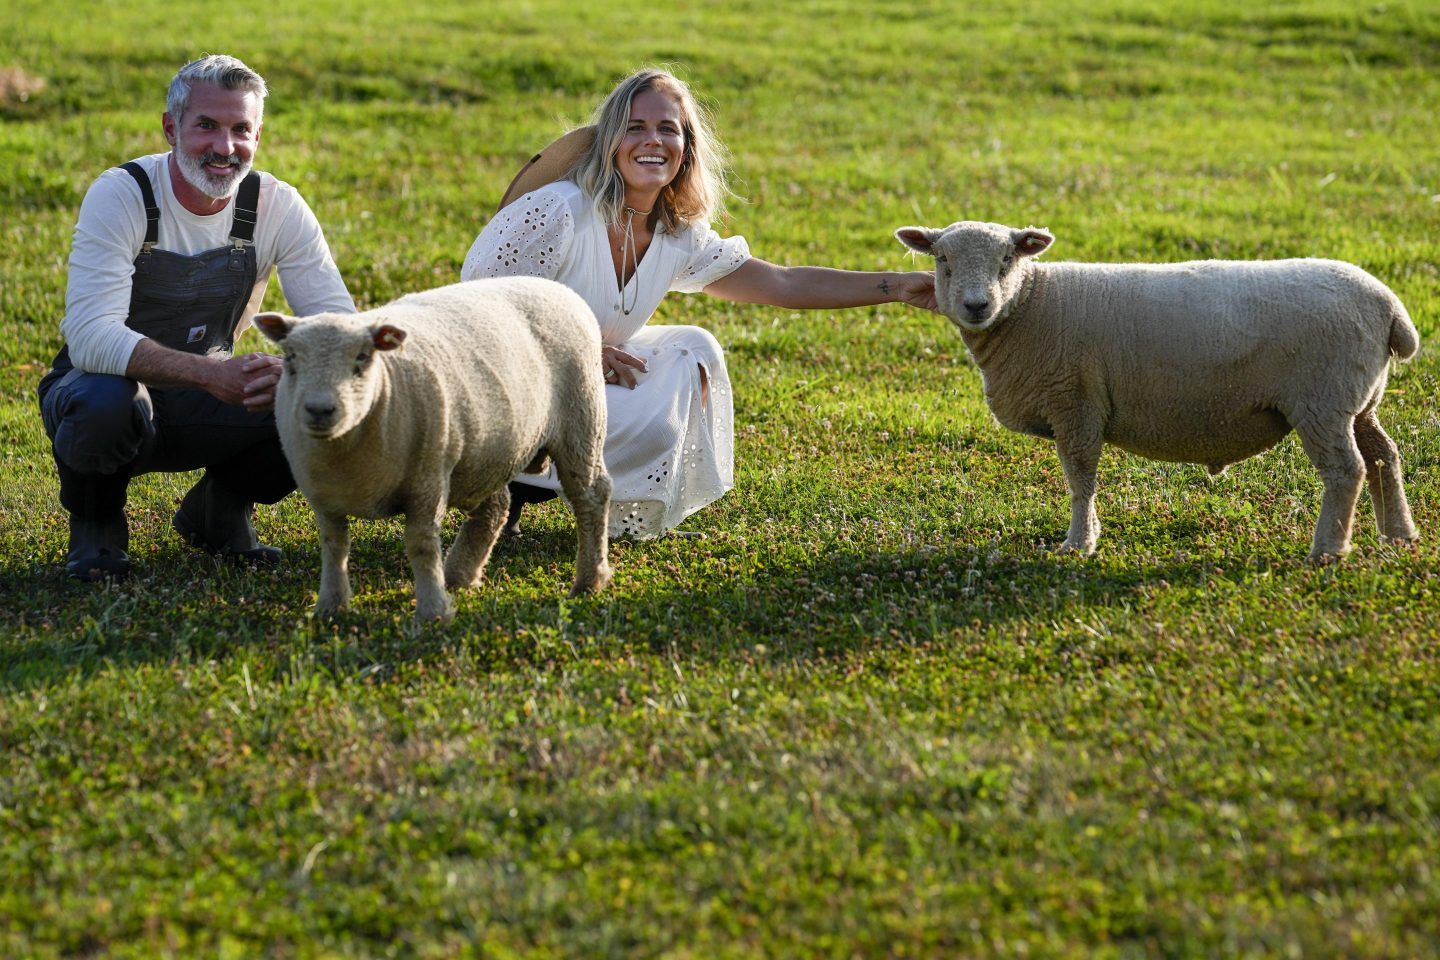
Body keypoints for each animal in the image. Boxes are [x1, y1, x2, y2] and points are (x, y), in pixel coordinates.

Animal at [256, 277, 610, 624]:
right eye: (290, 358)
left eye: (362, 358)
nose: (319, 410)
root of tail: (556, 287)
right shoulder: (324, 497)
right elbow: (334, 547)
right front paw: (330, 607)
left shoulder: (426, 483)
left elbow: (421, 546)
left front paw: (431, 613)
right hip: (486, 451)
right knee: (496, 506)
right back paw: (459, 576)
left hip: (582, 420)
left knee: (591, 496)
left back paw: (589, 581)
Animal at [892, 220, 1422, 558]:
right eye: (942, 259)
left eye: (1006, 259)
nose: (976, 305)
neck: (1031, 304)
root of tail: (1389, 306)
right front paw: (1087, 536)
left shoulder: (1075, 401)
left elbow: (1080, 477)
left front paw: (1079, 543)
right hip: (1359, 401)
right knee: (1383, 456)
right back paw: (1399, 535)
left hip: (1322, 401)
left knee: (1346, 470)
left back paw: (1328, 550)